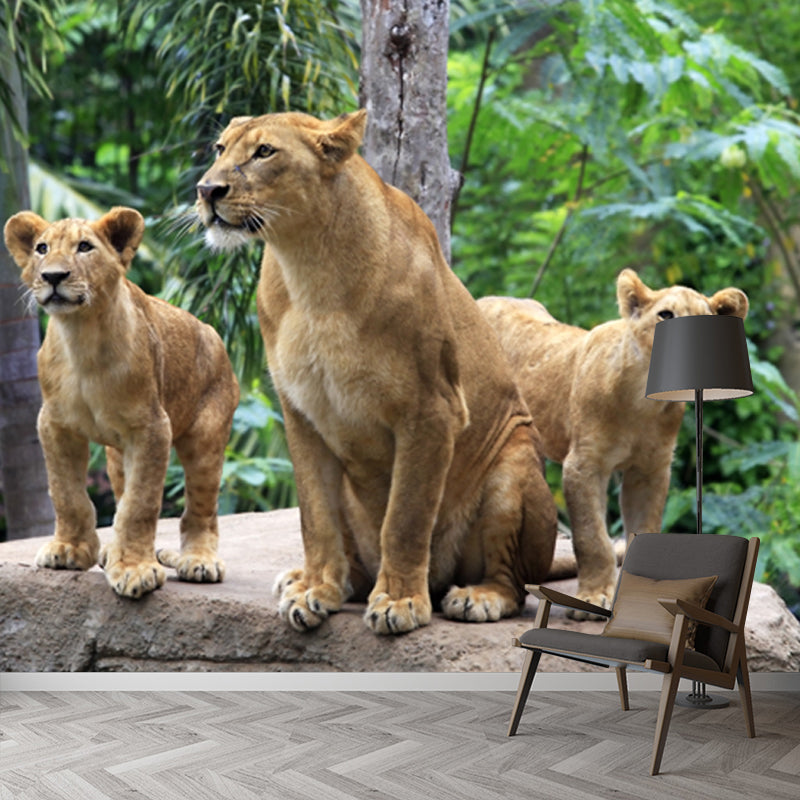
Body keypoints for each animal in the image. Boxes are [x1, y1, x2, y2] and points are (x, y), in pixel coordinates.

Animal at [3, 207, 240, 598]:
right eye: (41, 248)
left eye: (85, 247)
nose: (53, 276)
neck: (81, 338)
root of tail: (212, 333)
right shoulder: (54, 424)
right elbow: (66, 493)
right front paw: (69, 550)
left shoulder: (152, 428)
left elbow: (139, 504)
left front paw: (133, 569)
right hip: (115, 455)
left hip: (206, 437)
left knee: (201, 508)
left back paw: (199, 561)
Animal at [195, 109, 558, 634]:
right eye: (220, 149)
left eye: (265, 152)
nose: (206, 190)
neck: (309, 266)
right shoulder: (301, 413)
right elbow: (314, 516)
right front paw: (315, 591)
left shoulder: (432, 411)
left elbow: (405, 518)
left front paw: (400, 602)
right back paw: (317, 580)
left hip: (514, 463)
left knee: (514, 582)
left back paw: (477, 596)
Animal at [478, 269, 749, 617]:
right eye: (665, 315)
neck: (641, 402)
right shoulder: (584, 465)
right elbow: (592, 536)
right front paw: (593, 598)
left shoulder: (649, 471)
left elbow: (645, 530)